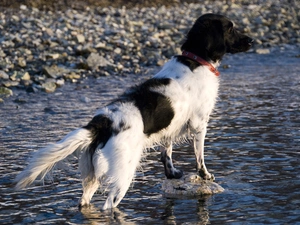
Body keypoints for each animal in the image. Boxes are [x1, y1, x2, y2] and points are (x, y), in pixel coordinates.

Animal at [14, 13, 253, 211]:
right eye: (230, 28)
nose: (252, 40)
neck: (195, 61)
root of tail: (103, 122)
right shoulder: (199, 124)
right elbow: (199, 157)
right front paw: (205, 175)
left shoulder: (170, 128)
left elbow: (166, 154)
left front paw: (172, 174)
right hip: (123, 175)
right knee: (109, 206)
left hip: (92, 178)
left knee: (84, 203)